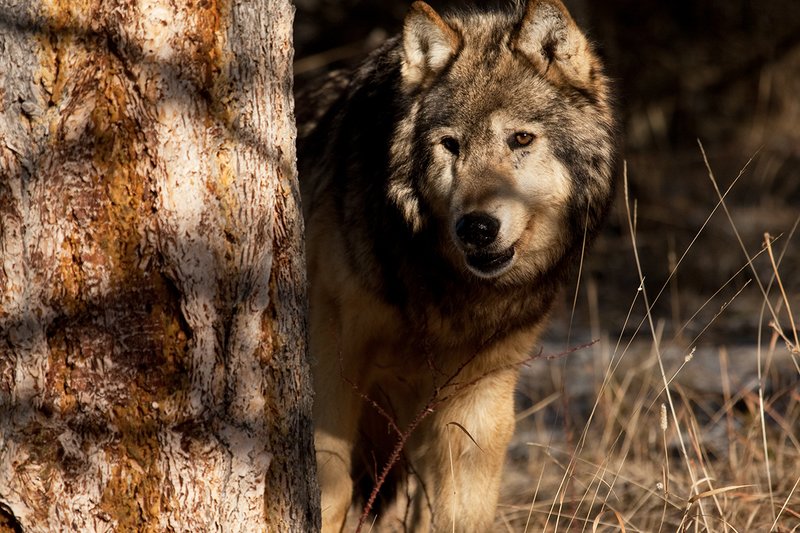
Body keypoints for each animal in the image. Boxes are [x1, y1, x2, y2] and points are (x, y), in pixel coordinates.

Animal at [296, 0, 615, 530]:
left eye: (520, 138)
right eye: (451, 145)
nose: (477, 228)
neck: (445, 294)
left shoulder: (477, 407)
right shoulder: (334, 372)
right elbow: (328, 492)